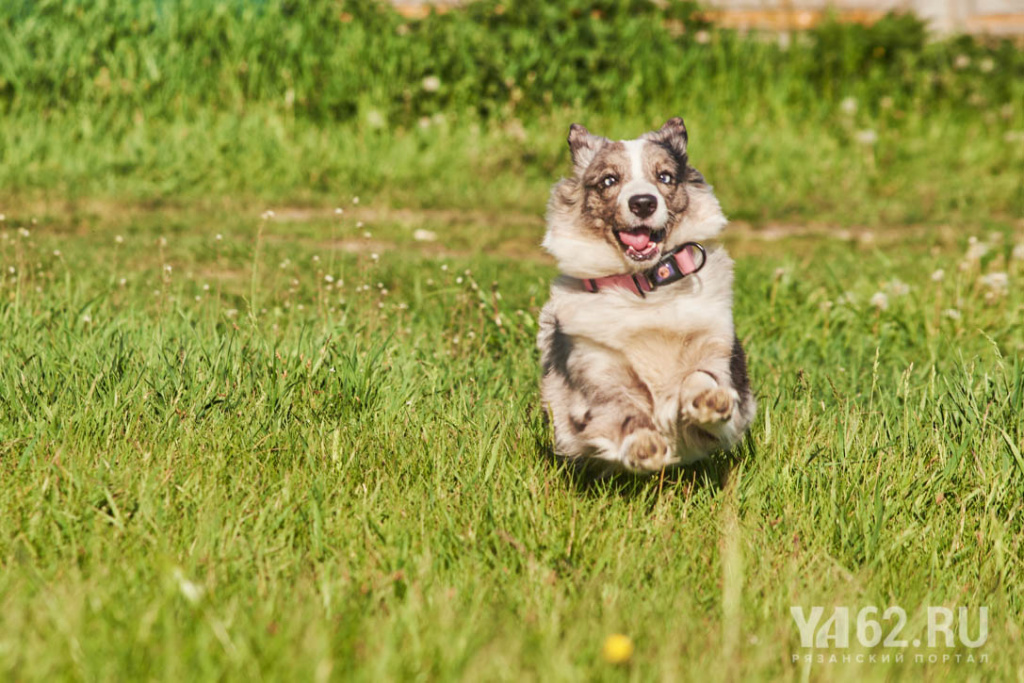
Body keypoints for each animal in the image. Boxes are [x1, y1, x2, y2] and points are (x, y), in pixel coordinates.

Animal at [536, 117, 753, 473]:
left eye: (664, 177)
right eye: (609, 180)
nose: (642, 202)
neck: (646, 288)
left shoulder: (716, 349)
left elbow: (701, 377)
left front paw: (708, 400)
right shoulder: (594, 368)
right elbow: (621, 409)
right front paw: (643, 444)